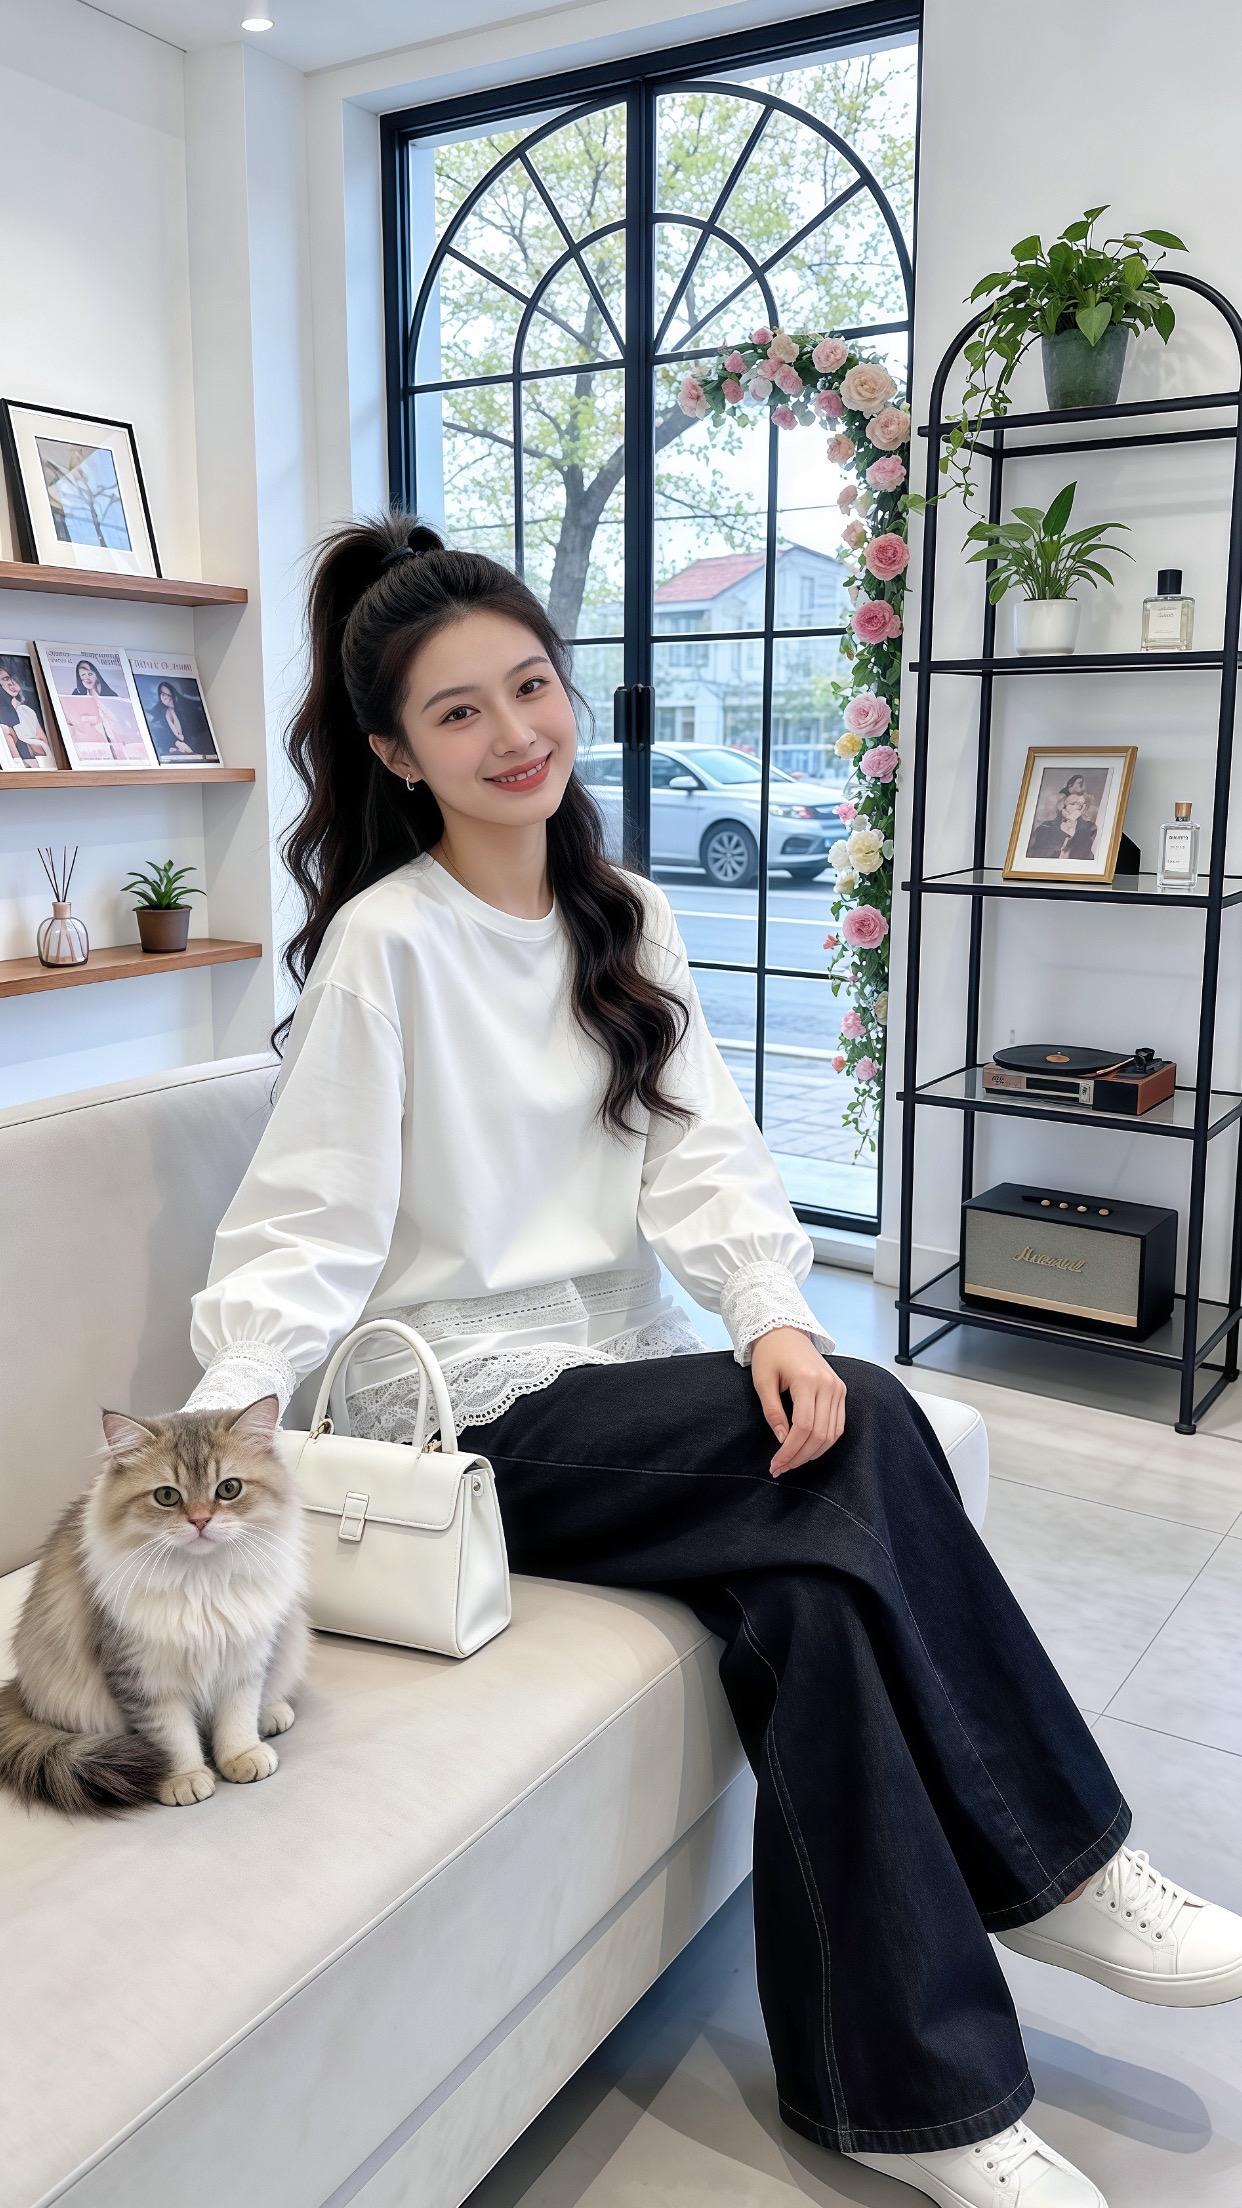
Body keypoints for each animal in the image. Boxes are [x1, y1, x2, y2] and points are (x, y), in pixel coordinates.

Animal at [0, 1394, 310, 1819]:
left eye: (229, 1488)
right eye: (167, 1496)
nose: (200, 1521)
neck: (201, 1582)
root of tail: (17, 1691)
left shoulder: (244, 1656)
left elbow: (238, 1716)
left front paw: (242, 1756)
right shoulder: (143, 1675)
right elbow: (172, 1736)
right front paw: (184, 1779)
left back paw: (272, 1714)